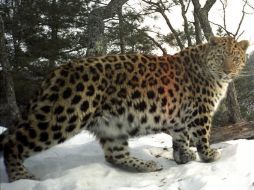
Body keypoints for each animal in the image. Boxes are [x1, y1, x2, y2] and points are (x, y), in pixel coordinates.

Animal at [0, 36, 249, 183]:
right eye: (221, 58)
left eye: (236, 59)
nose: (228, 71)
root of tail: (54, 73)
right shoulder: (200, 112)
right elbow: (202, 135)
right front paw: (208, 155)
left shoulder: (179, 116)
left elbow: (180, 137)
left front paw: (183, 156)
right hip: (64, 115)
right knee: (12, 141)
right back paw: (21, 178)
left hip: (112, 125)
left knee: (114, 155)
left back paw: (147, 165)